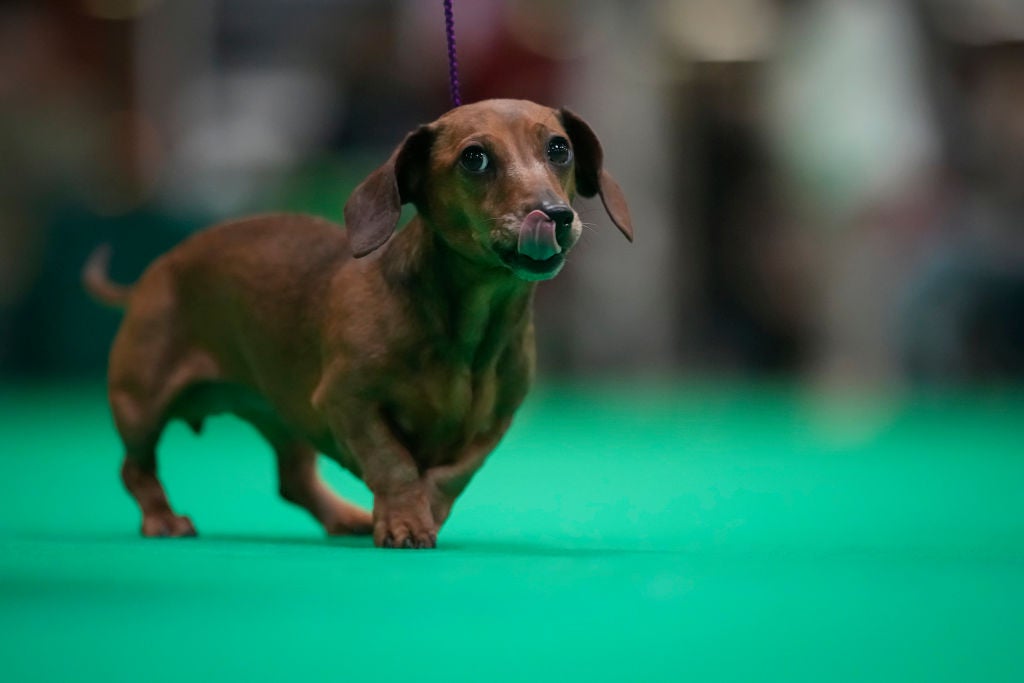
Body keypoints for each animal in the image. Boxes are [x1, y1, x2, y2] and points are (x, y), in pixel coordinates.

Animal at [83, 98, 630, 548]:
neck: (469, 330)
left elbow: (451, 475)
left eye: (559, 149)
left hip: (283, 413)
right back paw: (164, 520)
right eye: (474, 158)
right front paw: (406, 520)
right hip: (140, 405)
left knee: (294, 481)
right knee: (135, 470)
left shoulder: (496, 423)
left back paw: (345, 517)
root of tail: (155, 272)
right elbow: (395, 464)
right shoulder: (349, 402)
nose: (554, 215)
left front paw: (420, 512)